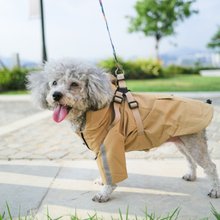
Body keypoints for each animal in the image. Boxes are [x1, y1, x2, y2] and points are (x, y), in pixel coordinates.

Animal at [27, 58, 220, 203]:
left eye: (74, 84)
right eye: (53, 83)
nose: (56, 95)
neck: (95, 109)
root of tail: (206, 104)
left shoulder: (110, 146)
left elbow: (111, 173)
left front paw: (104, 194)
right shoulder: (99, 148)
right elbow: (102, 168)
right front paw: (101, 181)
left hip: (194, 143)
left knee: (210, 166)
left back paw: (215, 190)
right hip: (182, 142)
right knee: (190, 160)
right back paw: (191, 176)